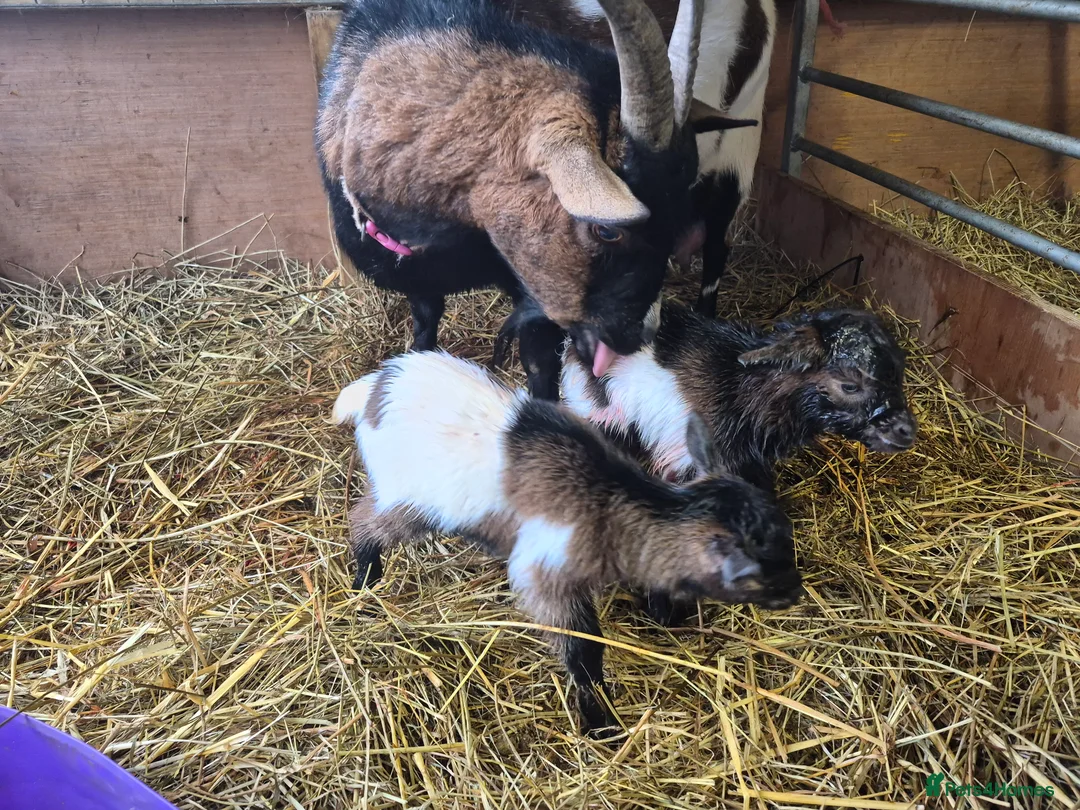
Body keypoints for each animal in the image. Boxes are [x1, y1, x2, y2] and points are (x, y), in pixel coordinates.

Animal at [316, 0, 755, 400]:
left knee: (718, 247)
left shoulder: (531, 293)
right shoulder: (421, 277)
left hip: (732, 164)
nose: (643, 333)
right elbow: (424, 327)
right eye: (606, 231)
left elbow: (541, 366)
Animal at [333, 350, 802, 734]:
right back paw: (365, 579)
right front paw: (600, 722)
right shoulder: (547, 578)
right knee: (364, 522)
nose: (795, 593)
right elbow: (582, 648)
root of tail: (377, 387)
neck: (610, 503)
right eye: (759, 569)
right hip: (407, 497)